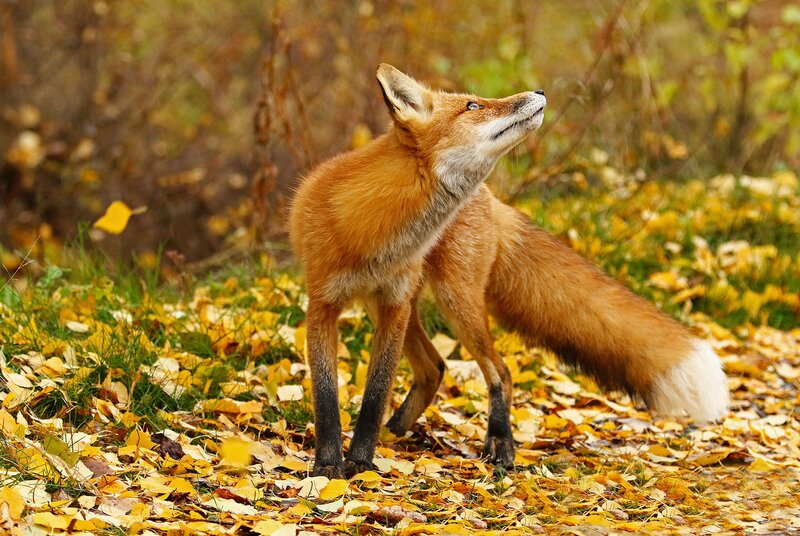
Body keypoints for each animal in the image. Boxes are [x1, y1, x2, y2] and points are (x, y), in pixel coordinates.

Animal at [289, 64, 729, 478]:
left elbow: (376, 390)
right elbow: (326, 396)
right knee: (435, 368)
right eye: (473, 106)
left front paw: (360, 462)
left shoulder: (393, 303)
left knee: (497, 371)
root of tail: (490, 198)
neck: (375, 228)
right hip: (395, 306)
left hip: (452, 301)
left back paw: (499, 445)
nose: (539, 91)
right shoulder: (324, 302)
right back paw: (397, 432)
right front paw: (329, 465)